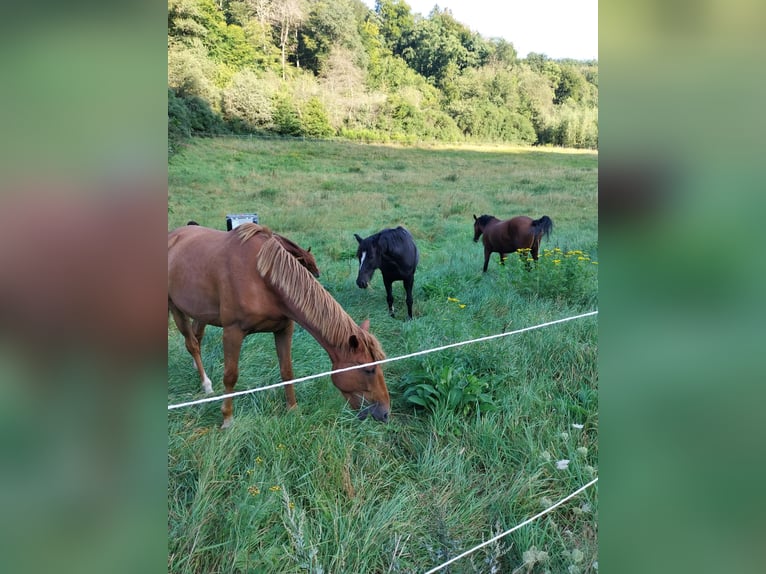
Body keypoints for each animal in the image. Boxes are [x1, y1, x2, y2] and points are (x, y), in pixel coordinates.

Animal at [168, 223, 390, 430]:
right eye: (369, 370)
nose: (386, 412)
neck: (262, 276)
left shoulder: (284, 329)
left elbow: (287, 371)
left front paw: (293, 410)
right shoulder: (233, 331)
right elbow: (230, 376)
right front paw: (227, 419)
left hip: (200, 312)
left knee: (197, 337)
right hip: (175, 308)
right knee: (192, 344)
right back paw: (206, 384)